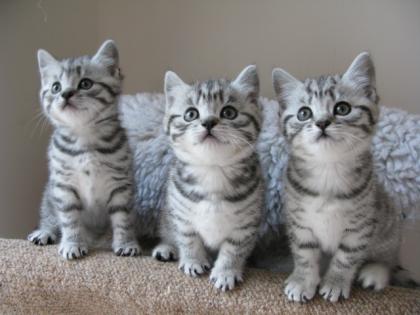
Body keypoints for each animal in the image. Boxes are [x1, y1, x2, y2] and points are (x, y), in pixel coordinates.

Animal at [27, 40, 141, 260]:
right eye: (56, 87)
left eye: (85, 83)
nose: (65, 94)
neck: (84, 139)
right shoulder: (64, 186)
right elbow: (70, 218)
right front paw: (72, 243)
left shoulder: (121, 185)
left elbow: (123, 218)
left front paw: (126, 243)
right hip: (49, 194)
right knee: (49, 217)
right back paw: (45, 232)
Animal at [151, 66, 262, 292]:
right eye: (191, 114)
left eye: (229, 112)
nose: (208, 122)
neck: (212, 171)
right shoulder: (180, 213)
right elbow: (187, 238)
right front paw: (193, 261)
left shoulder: (246, 224)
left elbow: (234, 249)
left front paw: (225, 272)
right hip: (166, 214)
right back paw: (165, 248)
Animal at [272, 53, 400, 304]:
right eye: (304, 113)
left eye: (342, 108)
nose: (322, 122)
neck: (328, 169)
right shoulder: (298, 221)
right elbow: (304, 253)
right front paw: (303, 281)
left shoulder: (361, 226)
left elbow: (346, 257)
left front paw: (335, 283)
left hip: (388, 223)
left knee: (390, 261)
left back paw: (376, 272)